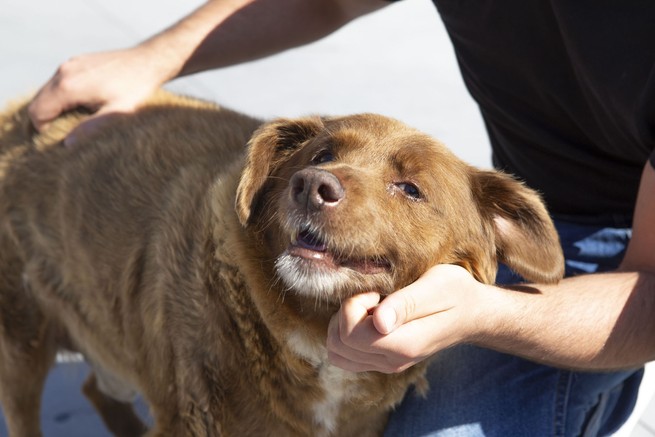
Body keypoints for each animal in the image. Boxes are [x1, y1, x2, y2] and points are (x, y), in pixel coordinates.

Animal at [0, 90, 564, 434]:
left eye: (410, 188)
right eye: (321, 155)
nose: (312, 186)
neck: (310, 334)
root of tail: (19, 111)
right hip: (23, 342)